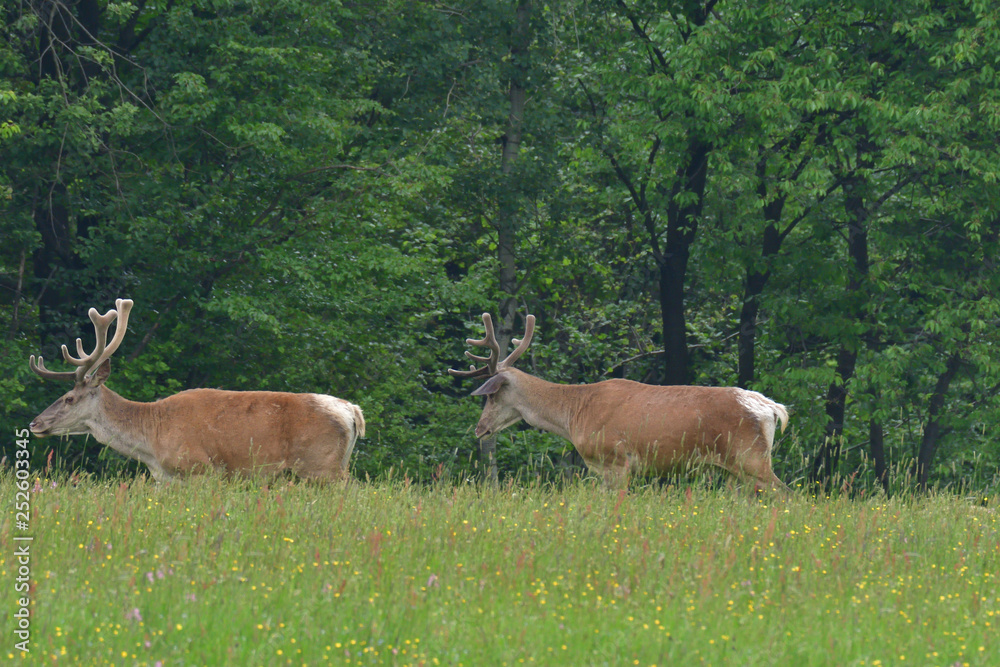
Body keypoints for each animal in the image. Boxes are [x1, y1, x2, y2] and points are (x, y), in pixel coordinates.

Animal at [28, 299, 365, 482]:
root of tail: (352, 411)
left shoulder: (200, 468)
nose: (35, 423)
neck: (151, 441)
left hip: (321, 466)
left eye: (69, 398)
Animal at [450, 313, 790, 492]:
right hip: (737, 469)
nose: (479, 429)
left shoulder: (616, 459)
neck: (574, 414)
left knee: (786, 494)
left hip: (751, 456)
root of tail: (773, 409)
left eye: (491, 393)